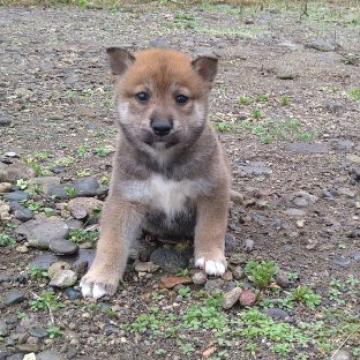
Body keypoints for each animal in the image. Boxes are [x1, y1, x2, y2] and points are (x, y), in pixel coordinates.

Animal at [80, 48, 231, 300]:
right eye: (142, 96)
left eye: (181, 98)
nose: (161, 127)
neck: (163, 161)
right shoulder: (125, 199)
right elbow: (111, 242)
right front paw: (99, 277)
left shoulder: (213, 190)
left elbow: (211, 227)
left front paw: (210, 256)